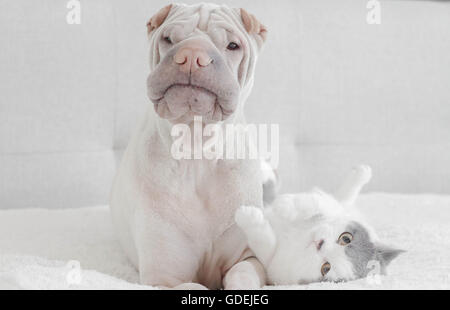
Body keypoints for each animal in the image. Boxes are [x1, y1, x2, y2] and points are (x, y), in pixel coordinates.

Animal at [111, 2, 268, 290]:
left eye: (232, 45)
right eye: (168, 39)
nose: (192, 55)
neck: (198, 151)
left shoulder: (249, 256)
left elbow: (242, 273)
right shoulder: (163, 277)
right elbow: (193, 286)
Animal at [236, 166, 404, 284]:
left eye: (326, 268)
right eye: (346, 238)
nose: (319, 243)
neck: (298, 237)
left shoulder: (273, 267)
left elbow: (264, 242)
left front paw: (248, 216)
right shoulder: (332, 208)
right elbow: (317, 202)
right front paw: (286, 206)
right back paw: (361, 173)